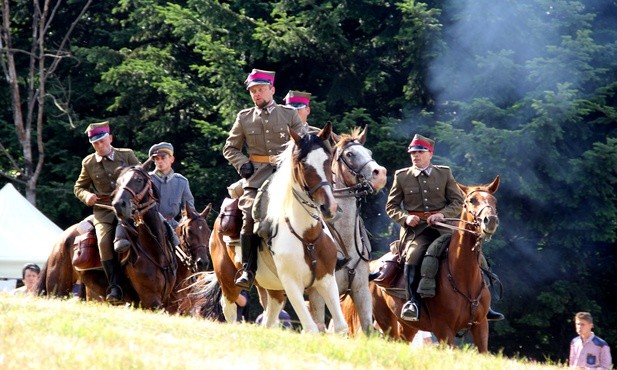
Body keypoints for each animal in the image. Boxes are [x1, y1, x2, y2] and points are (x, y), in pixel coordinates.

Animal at [209, 123, 348, 334]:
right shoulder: (291, 284)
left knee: (269, 317)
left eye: (328, 160)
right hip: (228, 281)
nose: (328, 207)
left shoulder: (326, 280)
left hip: (274, 290)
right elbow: (311, 329)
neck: (307, 236)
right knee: (230, 310)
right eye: (303, 164)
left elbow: (340, 326)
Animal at [306, 125, 388, 334]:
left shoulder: (361, 291)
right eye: (350, 154)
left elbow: (367, 328)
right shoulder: (318, 293)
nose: (380, 174)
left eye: (369, 152)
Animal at [342, 176, 500, 352]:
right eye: (471, 201)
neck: (463, 278)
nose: (490, 221)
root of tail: (373, 266)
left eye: (493, 200)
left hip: (408, 326)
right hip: (386, 321)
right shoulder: (443, 330)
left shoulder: (481, 326)